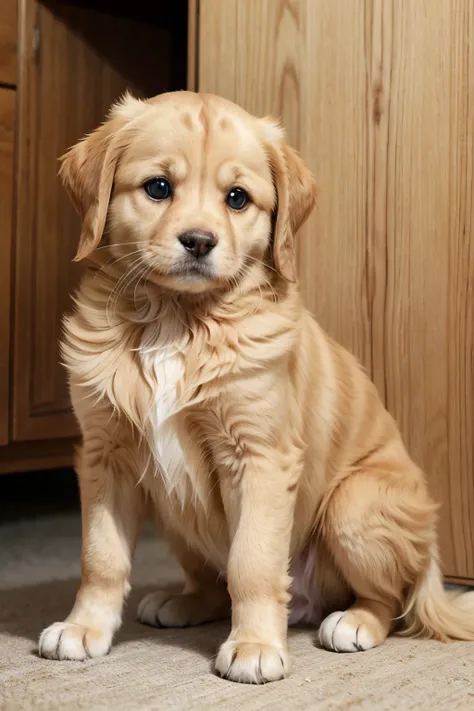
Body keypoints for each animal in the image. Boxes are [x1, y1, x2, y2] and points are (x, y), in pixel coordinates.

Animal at [38, 92, 474, 680]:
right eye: (158, 187)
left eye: (237, 198)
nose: (199, 241)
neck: (177, 319)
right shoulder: (107, 453)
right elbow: (100, 555)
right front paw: (85, 627)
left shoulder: (260, 456)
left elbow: (253, 562)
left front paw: (255, 646)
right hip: (170, 508)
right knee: (210, 578)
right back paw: (184, 601)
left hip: (355, 506)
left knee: (388, 598)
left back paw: (355, 621)